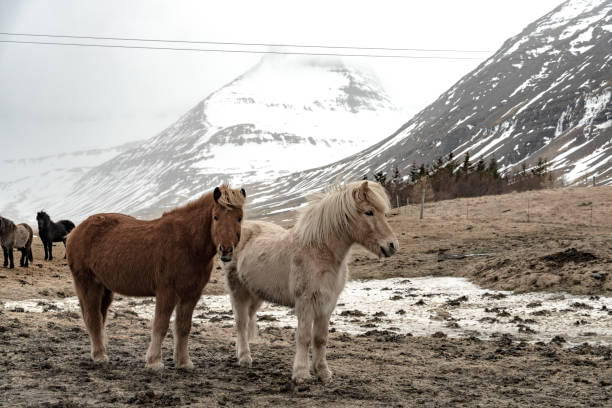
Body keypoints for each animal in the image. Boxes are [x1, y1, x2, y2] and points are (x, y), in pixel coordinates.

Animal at [67, 186, 246, 370]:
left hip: (105, 289)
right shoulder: (167, 292)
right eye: (216, 217)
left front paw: (183, 362)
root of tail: (75, 231)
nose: (226, 250)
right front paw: (154, 361)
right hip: (88, 284)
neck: (187, 243)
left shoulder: (191, 295)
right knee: (93, 318)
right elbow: (161, 325)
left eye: (239, 218)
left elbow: (183, 327)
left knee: (99, 317)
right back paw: (100, 356)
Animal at [222, 181, 400, 382]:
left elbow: (320, 338)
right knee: (241, 323)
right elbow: (304, 337)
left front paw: (322, 371)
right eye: (369, 212)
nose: (392, 246)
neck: (319, 252)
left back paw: (240, 353)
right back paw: (245, 357)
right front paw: (301, 373)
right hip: (239, 292)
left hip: (255, 295)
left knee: (246, 321)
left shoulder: (327, 304)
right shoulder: (306, 302)